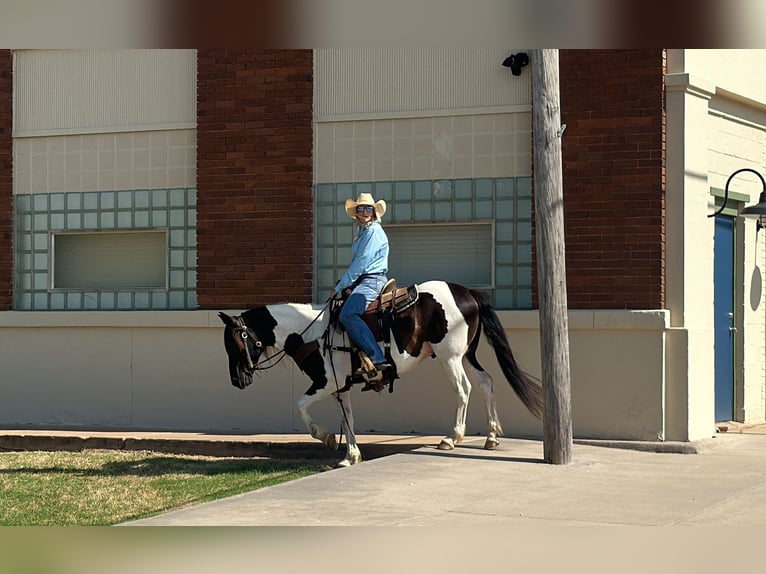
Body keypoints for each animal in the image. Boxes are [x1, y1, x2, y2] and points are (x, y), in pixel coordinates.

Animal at [219, 282, 544, 468]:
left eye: (236, 342)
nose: (237, 380)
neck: (310, 332)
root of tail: (468, 293)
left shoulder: (325, 382)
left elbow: (301, 406)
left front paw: (327, 438)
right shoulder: (341, 386)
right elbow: (348, 418)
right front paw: (350, 456)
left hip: (450, 357)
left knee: (463, 389)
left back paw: (452, 438)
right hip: (467, 355)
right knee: (486, 382)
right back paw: (491, 436)